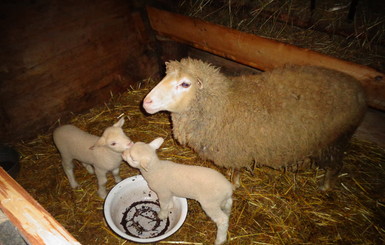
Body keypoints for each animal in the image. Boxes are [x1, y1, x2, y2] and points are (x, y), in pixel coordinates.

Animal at [142, 57, 366, 189]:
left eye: (185, 84)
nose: (146, 102)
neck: (223, 103)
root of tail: (359, 90)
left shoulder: (237, 149)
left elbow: (236, 170)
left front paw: (234, 185)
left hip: (335, 140)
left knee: (336, 166)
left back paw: (325, 187)